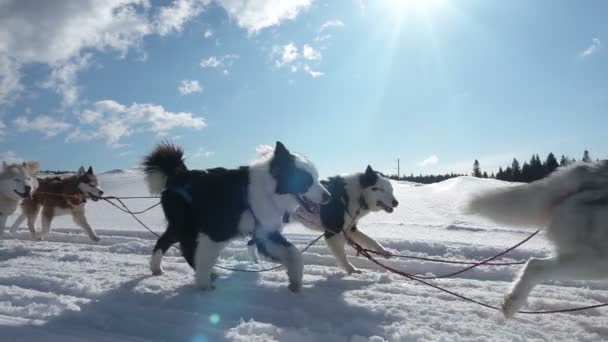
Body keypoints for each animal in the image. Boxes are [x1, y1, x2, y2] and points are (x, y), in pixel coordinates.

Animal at [142, 142, 330, 292]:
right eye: (306, 179)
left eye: (316, 178)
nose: (328, 197)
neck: (267, 190)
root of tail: (179, 174)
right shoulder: (217, 230)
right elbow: (205, 258)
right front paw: (204, 286)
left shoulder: (266, 233)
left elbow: (294, 254)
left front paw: (295, 281)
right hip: (186, 225)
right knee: (184, 248)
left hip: (182, 225)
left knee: (165, 242)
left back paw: (156, 269)